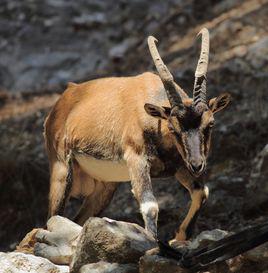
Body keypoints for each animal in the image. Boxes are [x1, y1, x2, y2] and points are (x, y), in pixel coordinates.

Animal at [44, 28, 230, 240]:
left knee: (79, 218)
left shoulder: (180, 166)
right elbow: (151, 207)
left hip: (106, 185)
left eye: (210, 123)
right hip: (61, 170)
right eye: (173, 128)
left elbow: (202, 192)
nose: (198, 164)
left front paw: (181, 236)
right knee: (53, 217)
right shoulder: (137, 160)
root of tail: (63, 101)